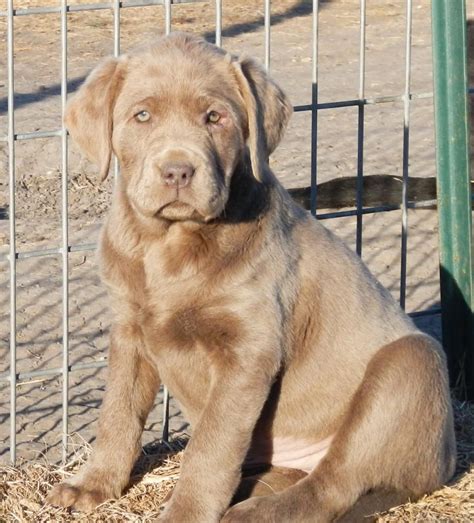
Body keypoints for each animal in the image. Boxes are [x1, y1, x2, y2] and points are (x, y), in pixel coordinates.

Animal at [47, 33, 456, 523]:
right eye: (141, 115)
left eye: (215, 117)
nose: (178, 171)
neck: (168, 244)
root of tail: (443, 465)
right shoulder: (129, 327)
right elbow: (117, 413)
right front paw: (91, 485)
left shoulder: (247, 351)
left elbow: (211, 447)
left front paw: (184, 514)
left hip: (410, 362)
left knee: (332, 484)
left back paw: (258, 510)